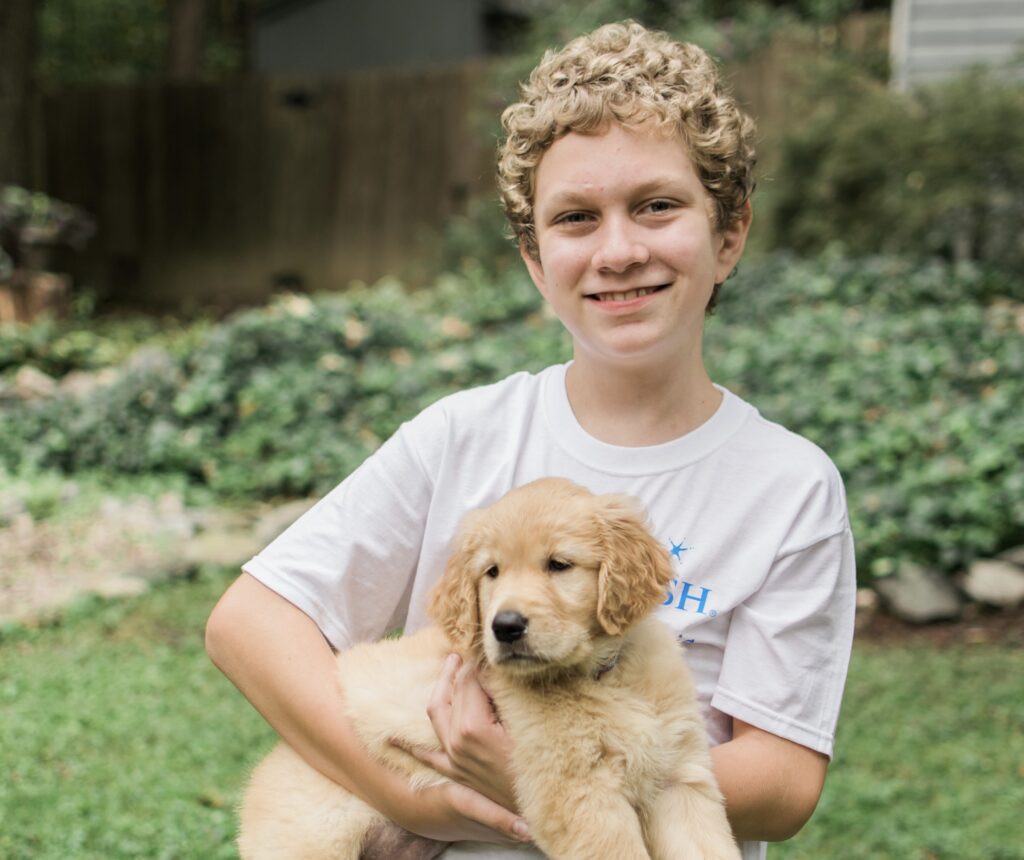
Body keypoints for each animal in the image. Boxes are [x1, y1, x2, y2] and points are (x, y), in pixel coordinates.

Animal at [236, 477, 741, 860]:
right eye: (491, 572)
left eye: (559, 565)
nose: (506, 626)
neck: (602, 676)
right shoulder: (578, 797)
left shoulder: (680, 780)